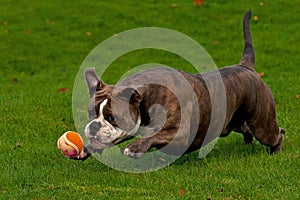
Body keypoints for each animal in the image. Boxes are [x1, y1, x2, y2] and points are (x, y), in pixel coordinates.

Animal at [75, 11, 284, 161]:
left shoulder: (179, 135)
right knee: (245, 129)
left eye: (112, 117)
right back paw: (247, 143)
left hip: (263, 125)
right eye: (91, 113)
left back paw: (275, 150)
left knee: (277, 133)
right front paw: (88, 148)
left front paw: (134, 148)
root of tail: (246, 66)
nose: (93, 126)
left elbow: (152, 136)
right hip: (233, 122)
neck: (146, 98)